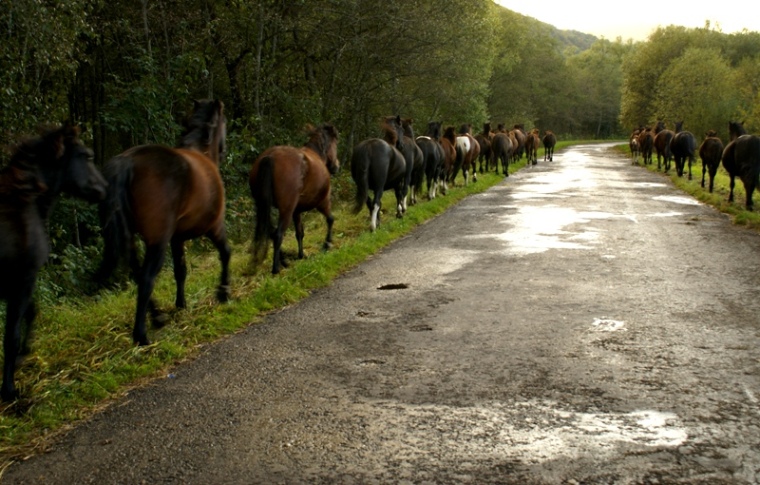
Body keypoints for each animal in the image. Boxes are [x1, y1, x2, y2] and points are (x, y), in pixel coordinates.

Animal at [0, 125, 107, 400]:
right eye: (87, 155)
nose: (105, 187)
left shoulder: (16, 286)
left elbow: (31, 315)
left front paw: (22, 357)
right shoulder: (22, 281)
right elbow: (12, 334)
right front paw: (9, 388)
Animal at [96, 100, 230, 346]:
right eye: (224, 123)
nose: (223, 151)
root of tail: (126, 162)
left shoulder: (177, 238)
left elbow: (181, 270)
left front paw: (181, 304)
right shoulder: (214, 227)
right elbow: (225, 253)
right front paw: (223, 292)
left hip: (131, 239)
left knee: (138, 275)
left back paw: (157, 317)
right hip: (158, 242)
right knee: (147, 279)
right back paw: (141, 335)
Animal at [249, 123, 338, 274]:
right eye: (336, 143)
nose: (336, 166)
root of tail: (270, 157)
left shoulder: (297, 211)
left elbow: (299, 232)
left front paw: (301, 255)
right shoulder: (322, 201)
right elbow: (330, 219)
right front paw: (327, 244)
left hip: (264, 207)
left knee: (271, 233)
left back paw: (283, 261)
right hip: (286, 210)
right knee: (278, 234)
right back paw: (276, 268)